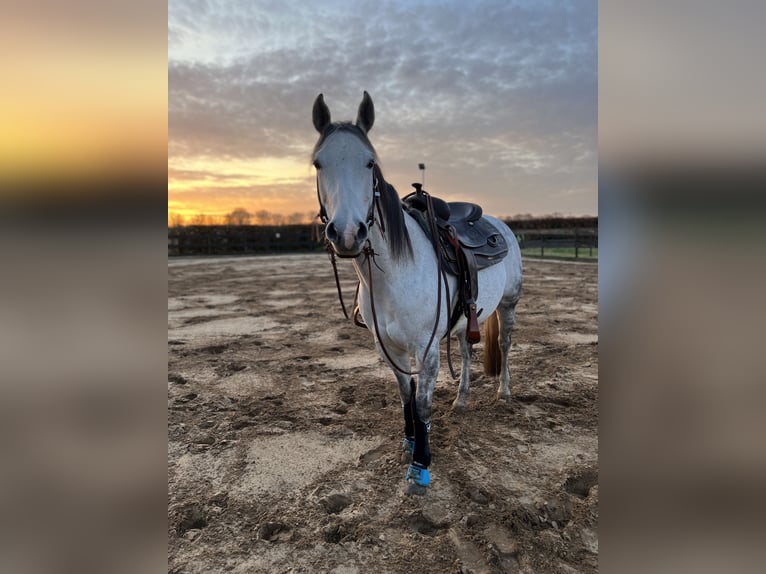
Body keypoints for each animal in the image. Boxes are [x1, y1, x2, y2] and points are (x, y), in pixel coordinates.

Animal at [311, 91, 522, 493]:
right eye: (318, 163)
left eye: (369, 162)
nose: (347, 233)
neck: (394, 273)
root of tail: (500, 225)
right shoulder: (387, 346)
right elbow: (405, 394)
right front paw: (409, 441)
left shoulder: (426, 348)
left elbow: (422, 403)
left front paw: (420, 466)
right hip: (468, 319)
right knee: (467, 354)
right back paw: (461, 401)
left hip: (508, 304)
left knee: (503, 344)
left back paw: (503, 392)